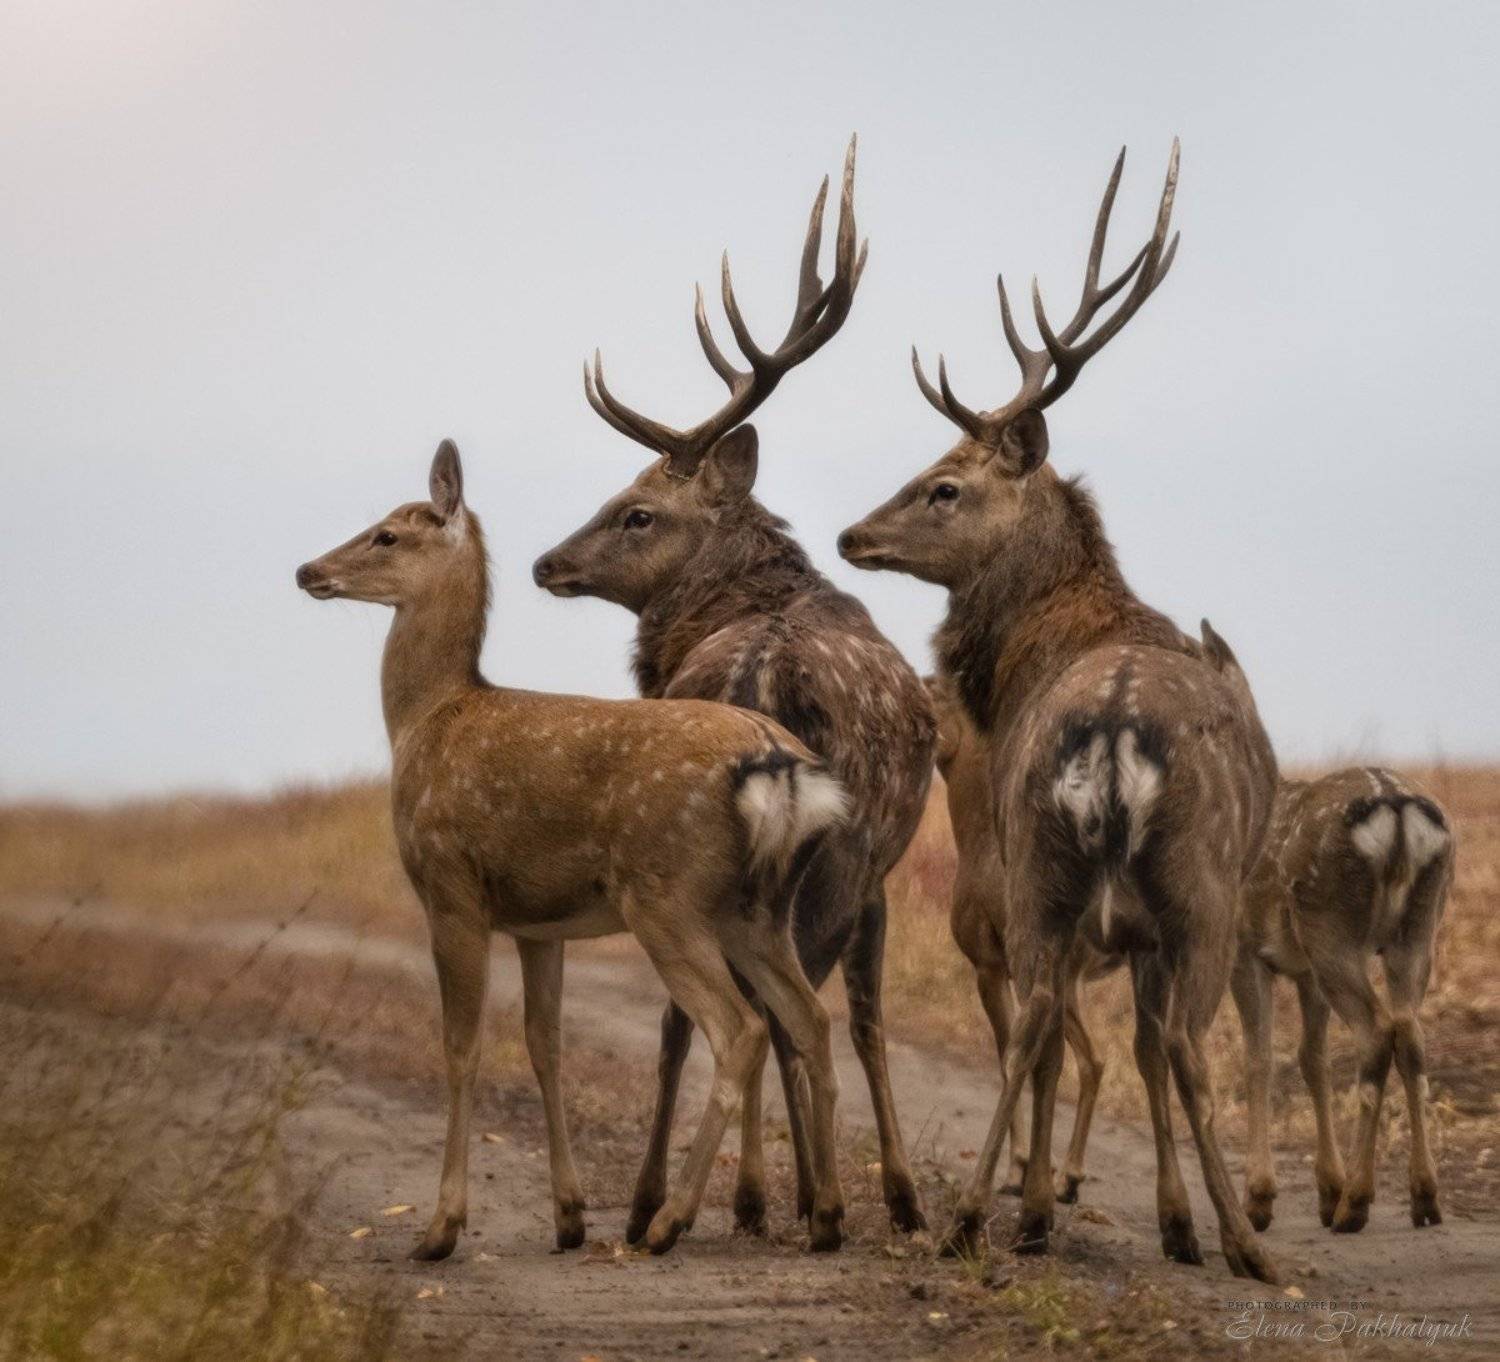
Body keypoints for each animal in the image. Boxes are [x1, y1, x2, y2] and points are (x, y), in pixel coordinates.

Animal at [295, 439, 854, 1258]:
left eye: (387, 535)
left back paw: (669, 1221)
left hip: (666, 894)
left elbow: (461, 1045)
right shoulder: (539, 922)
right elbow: (543, 1043)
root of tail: (776, 761)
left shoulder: (451, 887)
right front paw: (568, 1217)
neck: (429, 718)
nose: (308, 571)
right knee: (809, 1018)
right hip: (757, 908)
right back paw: (828, 1218)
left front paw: (440, 1228)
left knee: (741, 1028)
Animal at [531, 138, 938, 1241]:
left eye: (635, 512)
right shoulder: (874, 879)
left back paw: (718, 1199)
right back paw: (790, 1199)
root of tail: (766, 671)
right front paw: (875, 1191)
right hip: (827, 854)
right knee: (782, 1011)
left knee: (739, 1012)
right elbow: (868, 1019)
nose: (544, 562)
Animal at [926, 674, 1121, 1205]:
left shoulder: (988, 967)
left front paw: (1014, 1170)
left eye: (934, 698)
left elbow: (1004, 1053)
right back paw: (1069, 1178)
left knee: (1087, 1059)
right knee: (1096, 1061)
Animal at [1202, 630, 1454, 1236]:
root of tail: (1398, 812)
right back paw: (1423, 1197)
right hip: (1414, 931)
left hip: (1333, 927)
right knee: (1410, 1034)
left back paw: (1357, 1204)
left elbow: (1260, 1057)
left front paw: (1261, 1199)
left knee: (1376, 1033)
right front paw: (1323, 1188)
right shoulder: (1303, 968)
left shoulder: (1246, 950)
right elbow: (1310, 1059)